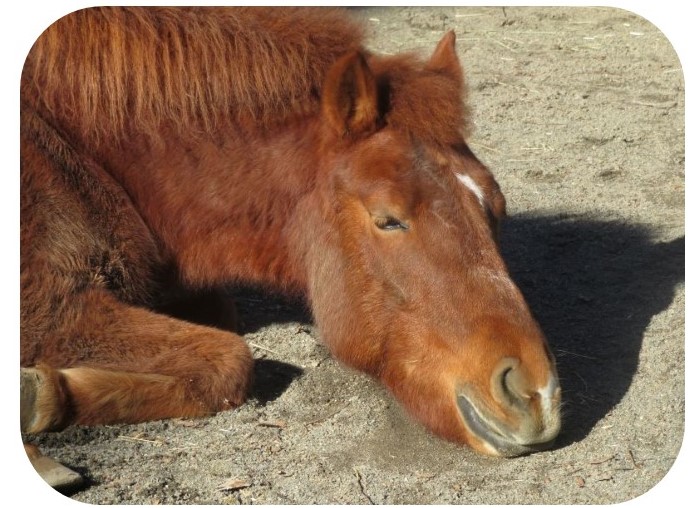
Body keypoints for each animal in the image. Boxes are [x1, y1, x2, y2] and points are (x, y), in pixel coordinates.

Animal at [19, 6, 560, 460]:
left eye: (495, 208)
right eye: (388, 219)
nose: (533, 392)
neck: (78, 149)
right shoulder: (53, 310)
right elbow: (231, 362)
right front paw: (36, 394)